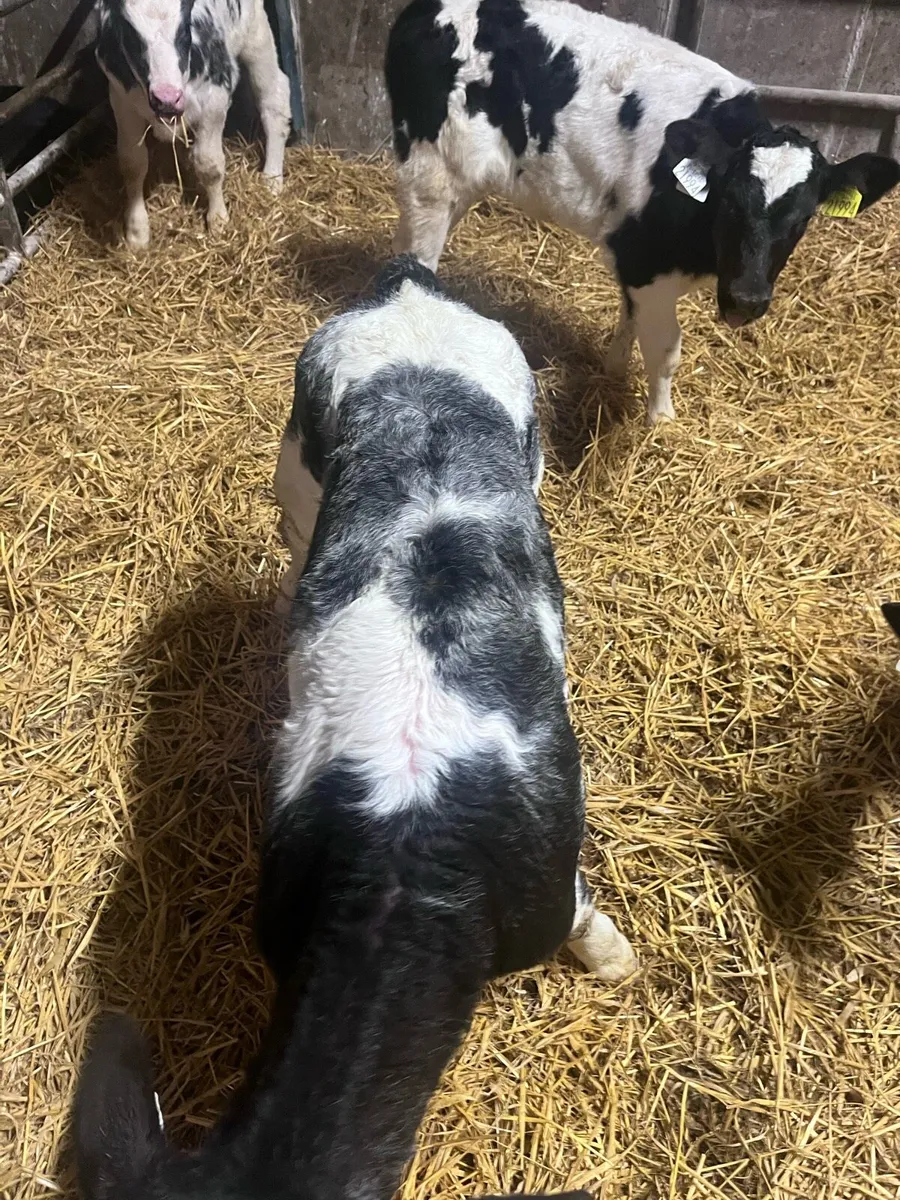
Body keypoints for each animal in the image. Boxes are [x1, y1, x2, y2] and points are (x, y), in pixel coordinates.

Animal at [96, 0, 291, 249]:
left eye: (183, 28)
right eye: (130, 33)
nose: (167, 98)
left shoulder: (215, 99)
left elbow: (209, 165)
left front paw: (218, 220)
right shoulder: (122, 102)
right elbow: (132, 164)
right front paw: (136, 232)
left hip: (255, 33)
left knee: (274, 96)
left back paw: (272, 179)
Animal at [385, 0, 900, 423]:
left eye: (805, 218)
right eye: (731, 201)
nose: (747, 300)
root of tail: (423, 10)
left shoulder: (635, 262)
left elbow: (629, 321)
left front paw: (613, 370)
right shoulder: (646, 264)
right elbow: (665, 349)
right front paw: (661, 421)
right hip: (428, 172)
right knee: (419, 257)